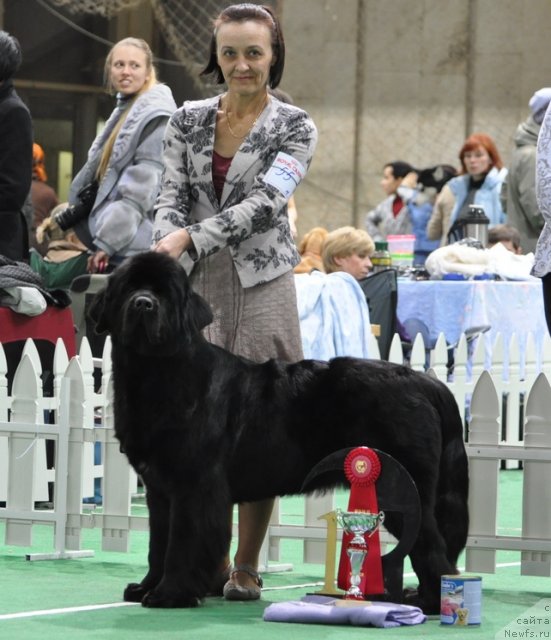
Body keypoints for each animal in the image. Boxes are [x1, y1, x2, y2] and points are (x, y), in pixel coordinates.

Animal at [90, 251, 470, 616]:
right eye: (129, 287)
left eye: (164, 293)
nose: (143, 303)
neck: (155, 373)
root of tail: (425, 382)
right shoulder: (160, 490)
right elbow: (158, 543)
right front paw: (145, 587)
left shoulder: (193, 487)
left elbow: (182, 542)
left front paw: (170, 593)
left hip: (401, 489)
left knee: (430, 547)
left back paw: (430, 602)